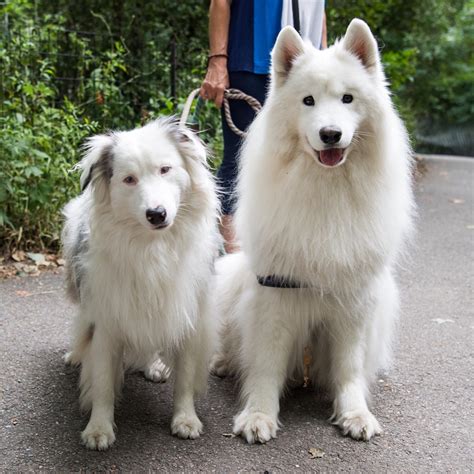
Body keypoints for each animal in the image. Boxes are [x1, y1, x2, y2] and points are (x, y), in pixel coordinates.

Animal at [60, 117, 220, 448]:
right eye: (129, 179)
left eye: (165, 169)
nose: (156, 214)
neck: (152, 247)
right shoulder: (106, 317)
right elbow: (103, 381)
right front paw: (99, 428)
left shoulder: (188, 314)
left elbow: (185, 377)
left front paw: (185, 418)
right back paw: (75, 355)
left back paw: (153, 365)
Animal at [212, 20, 414, 444]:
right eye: (308, 101)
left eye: (348, 99)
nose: (331, 134)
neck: (325, 187)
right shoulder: (274, 293)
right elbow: (266, 363)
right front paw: (258, 415)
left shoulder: (354, 301)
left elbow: (349, 367)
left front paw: (354, 413)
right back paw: (222, 361)